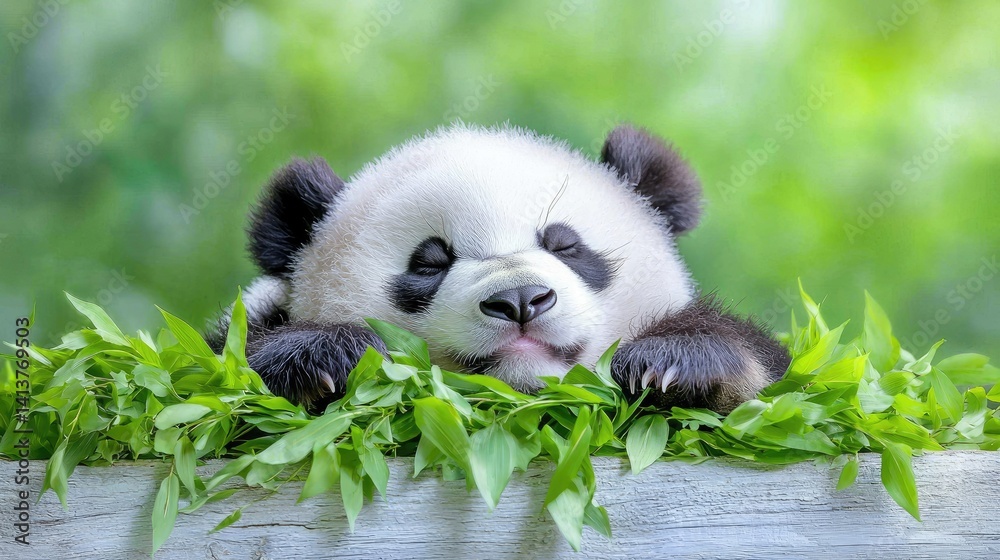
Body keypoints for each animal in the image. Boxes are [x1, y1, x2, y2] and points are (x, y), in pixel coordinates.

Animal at [209, 123, 790, 414]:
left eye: (566, 245)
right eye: (430, 262)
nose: (519, 300)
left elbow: (766, 368)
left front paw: (675, 364)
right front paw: (325, 357)